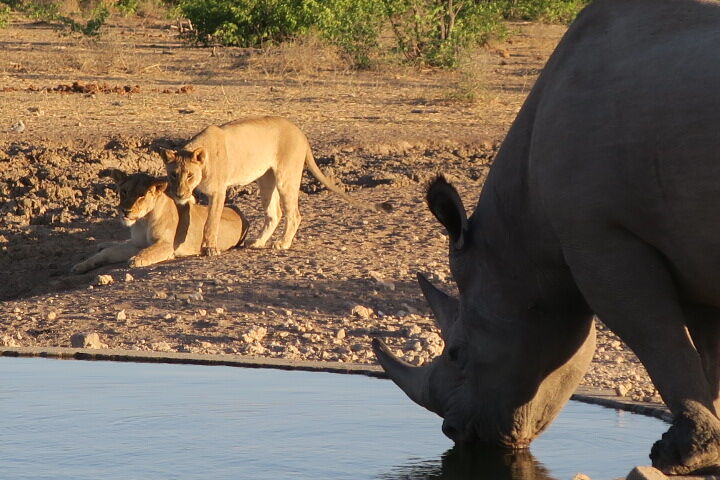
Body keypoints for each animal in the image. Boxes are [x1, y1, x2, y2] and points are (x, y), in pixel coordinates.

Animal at [70, 169, 249, 274]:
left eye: (141, 195)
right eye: (124, 191)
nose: (125, 211)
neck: (143, 221)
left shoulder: (167, 244)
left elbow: (147, 251)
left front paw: (136, 260)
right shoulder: (136, 244)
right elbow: (108, 253)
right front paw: (81, 266)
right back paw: (103, 244)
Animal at [160, 115, 390, 255]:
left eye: (190, 175)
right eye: (173, 175)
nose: (179, 193)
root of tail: (300, 133)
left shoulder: (218, 192)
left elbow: (211, 222)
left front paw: (209, 249)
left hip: (286, 177)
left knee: (294, 214)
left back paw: (283, 243)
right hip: (266, 180)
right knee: (274, 213)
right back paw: (258, 242)